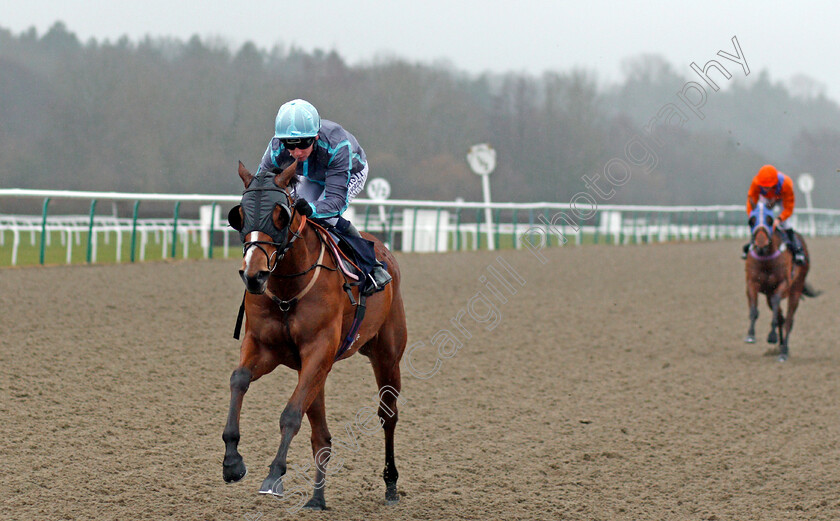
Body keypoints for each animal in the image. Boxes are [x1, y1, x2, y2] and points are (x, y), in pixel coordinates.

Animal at [221, 159, 408, 508]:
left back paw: (390, 484)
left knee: (387, 414)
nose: (254, 276)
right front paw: (232, 461)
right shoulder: (266, 348)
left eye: (280, 215)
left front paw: (274, 476)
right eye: (239, 215)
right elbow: (238, 379)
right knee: (321, 435)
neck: (287, 288)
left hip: (387, 355)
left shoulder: (318, 350)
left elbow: (291, 414)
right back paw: (317, 498)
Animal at [740, 201, 820, 360]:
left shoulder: (783, 284)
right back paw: (782, 346)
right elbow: (754, 310)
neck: (766, 258)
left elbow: (778, 306)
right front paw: (751, 335)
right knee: (781, 316)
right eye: (751, 221)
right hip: (768, 294)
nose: (761, 243)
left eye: (770, 220)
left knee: (788, 319)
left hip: (796, 288)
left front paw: (771, 336)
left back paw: (783, 352)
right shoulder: (752, 283)